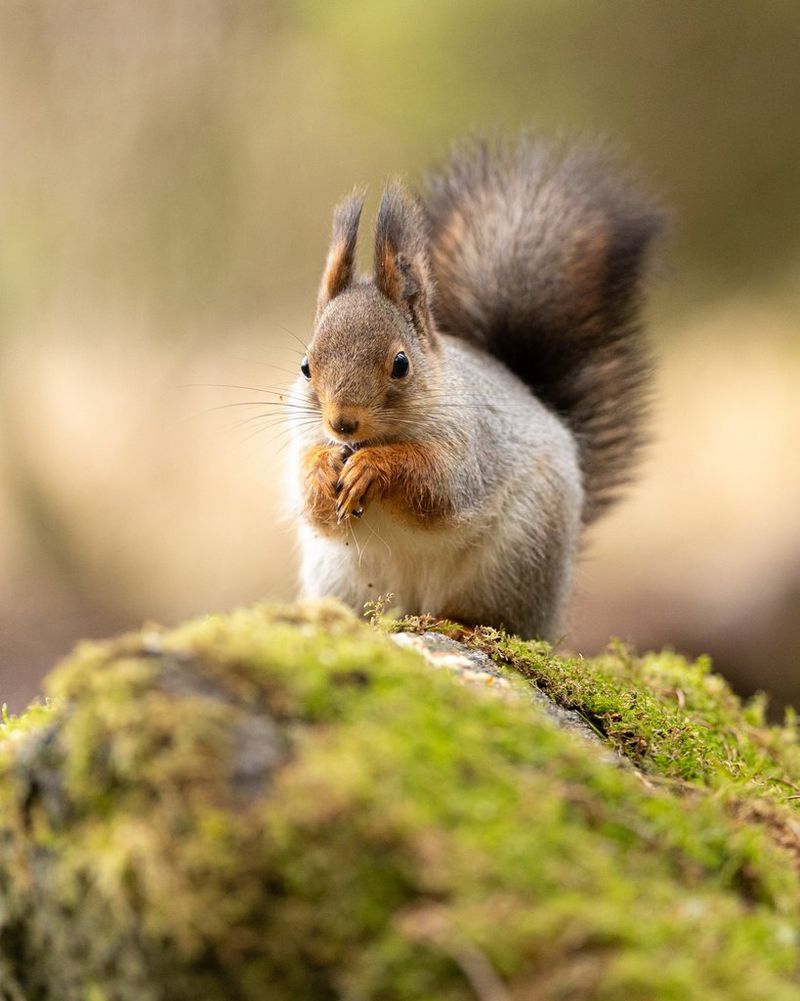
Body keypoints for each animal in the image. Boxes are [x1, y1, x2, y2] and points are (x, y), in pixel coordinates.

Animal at [286, 134, 662, 641]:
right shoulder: (304, 438)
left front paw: (373, 468)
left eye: (401, 364)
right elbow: (315, 508)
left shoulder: (470, 443)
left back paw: (459, 623)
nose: (342, 424)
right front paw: (323, 468)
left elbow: (436, 486)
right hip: (340, 575)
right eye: (306, 366)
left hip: (517, 559)